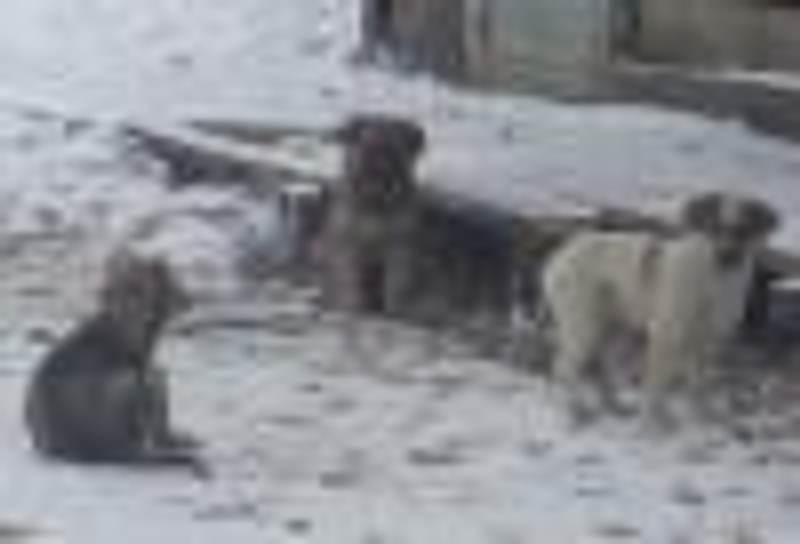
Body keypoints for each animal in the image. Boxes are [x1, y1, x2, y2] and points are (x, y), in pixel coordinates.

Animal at [539, 192, 779, 428]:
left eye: (743, 230)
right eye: (713, 227)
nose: (727, 255)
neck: (714, 279)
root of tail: (559, 257)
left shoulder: (709, 342)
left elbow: (699, 385)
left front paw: (702, 416)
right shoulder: (666, 336)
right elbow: (657, 385)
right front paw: (654, 422)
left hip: (611, 326)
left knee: (603, 365)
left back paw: (613, 406)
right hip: (583, 323)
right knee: (563, 368)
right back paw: (572, 411)